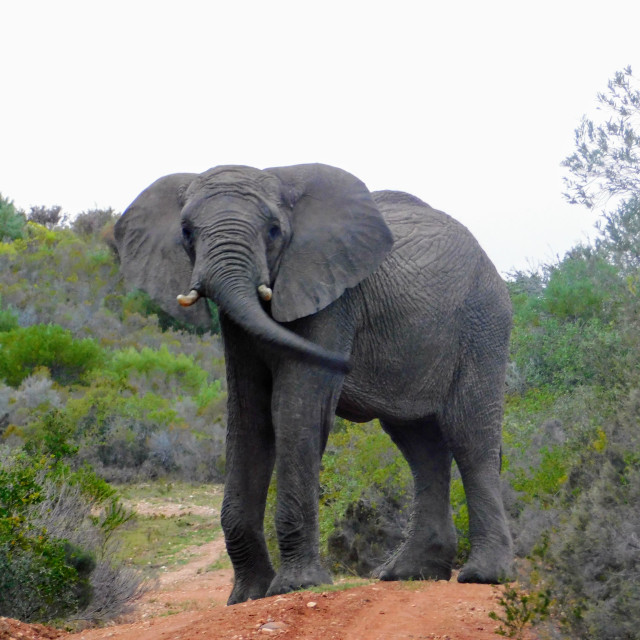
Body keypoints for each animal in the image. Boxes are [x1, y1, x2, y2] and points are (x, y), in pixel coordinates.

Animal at [114, 164, 516, 604]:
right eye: (186, 232)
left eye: (274, 230)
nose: (349, 362)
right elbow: (249, 416)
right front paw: (248, 596)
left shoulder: (332, 300)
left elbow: (297, 408)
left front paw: (296, 586)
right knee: (420, 446)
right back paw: (409, 574)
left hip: (483, 323)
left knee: (469, 436)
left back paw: (483, 576)